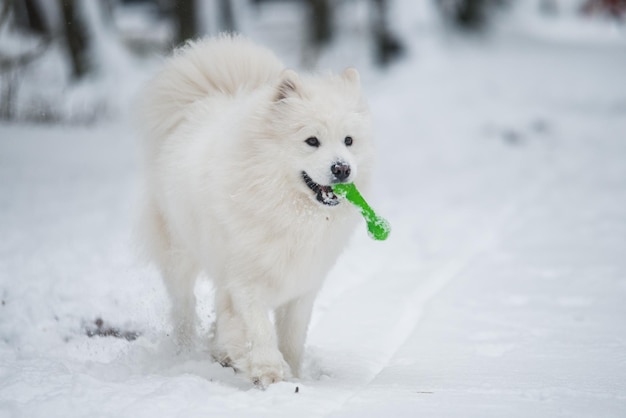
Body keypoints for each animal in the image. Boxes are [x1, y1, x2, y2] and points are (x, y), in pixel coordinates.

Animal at [136, 36, 372, 388]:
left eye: (348, 141)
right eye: (312, 140)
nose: (342, 168)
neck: (286, 210)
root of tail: (202, 102)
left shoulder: (303, 284)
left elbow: (292, 338)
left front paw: (294, 375)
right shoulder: (246, 279)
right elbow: (258, 329)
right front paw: (268, 372)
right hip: (179, 255)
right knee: (183, 308)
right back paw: (186, 350)